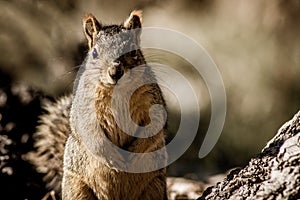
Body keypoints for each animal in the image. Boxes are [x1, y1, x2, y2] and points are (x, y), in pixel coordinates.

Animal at [26, 10, 168, 199]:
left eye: (133, 52)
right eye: (94, 53)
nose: (115, 72)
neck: (117, 92)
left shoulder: (152, 101)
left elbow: (154, 127)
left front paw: (132, 153)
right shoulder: (85, 109)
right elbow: (91, 132)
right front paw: (114, 157)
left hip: (154, 187)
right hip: (77, 189)